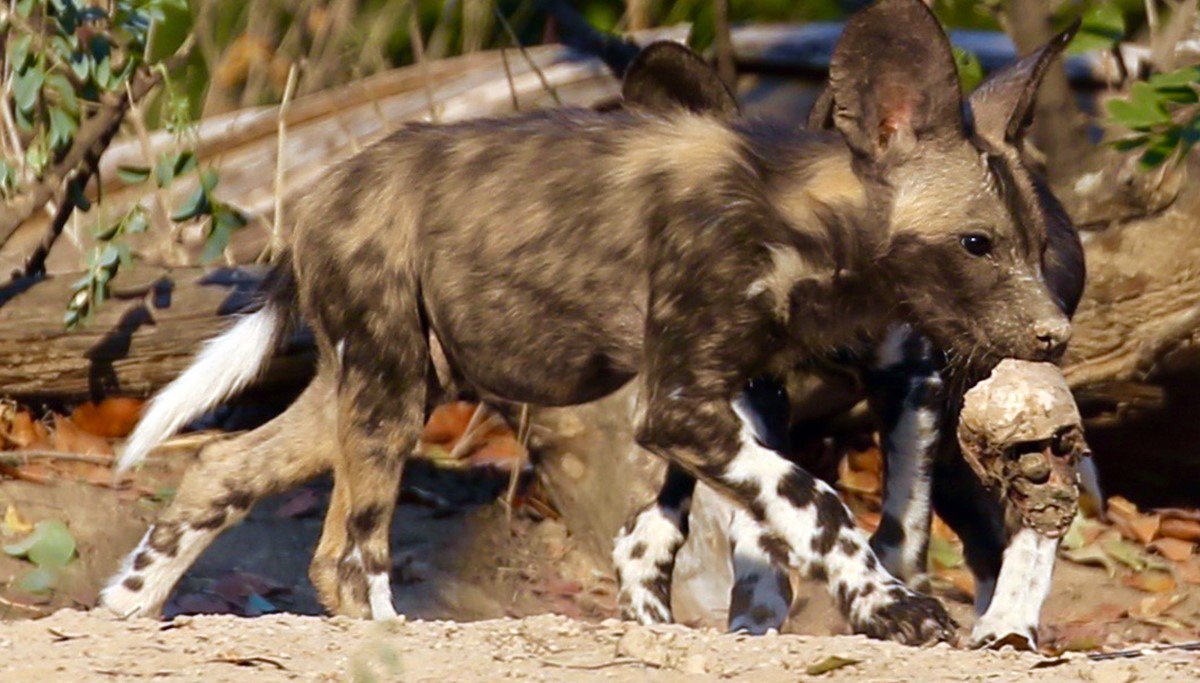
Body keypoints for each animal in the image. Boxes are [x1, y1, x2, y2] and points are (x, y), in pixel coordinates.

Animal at [101, 0, 1069, 645]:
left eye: (1037, 244)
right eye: (977, 244)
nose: (1055, 337)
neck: (798, 216)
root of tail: (317, 195)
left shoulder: (733, 395)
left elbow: (745, 527)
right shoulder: (681, 407)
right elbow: (816, 501)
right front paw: (891, 607)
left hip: (379, 384)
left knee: (224, 469)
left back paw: (126, 607)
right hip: (391, 397)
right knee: (347, 550)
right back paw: (391, 637)